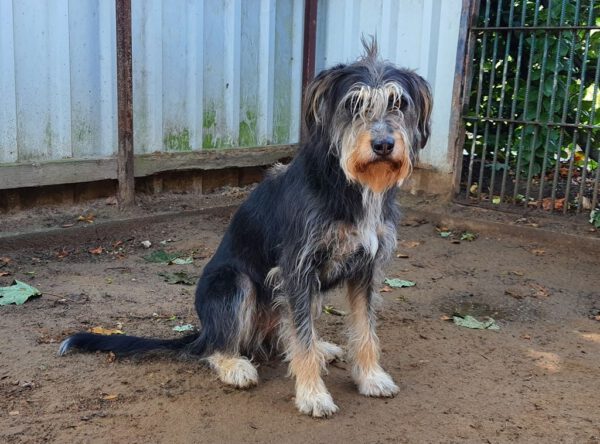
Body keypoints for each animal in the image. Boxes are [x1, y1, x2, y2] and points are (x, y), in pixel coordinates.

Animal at [59, 38, 432, 416]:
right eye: (354, 104)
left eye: (399, 103)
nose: (383, 145)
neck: (349, 184)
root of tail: (203, 330)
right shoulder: (296, 269)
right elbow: (303, 339)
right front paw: (313, 395)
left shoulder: (364, 270)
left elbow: (364, 329)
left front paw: (370, 377)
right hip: (234, 284)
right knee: (218, 348)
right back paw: (235, 365)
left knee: (286, 335)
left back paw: (320, 347)